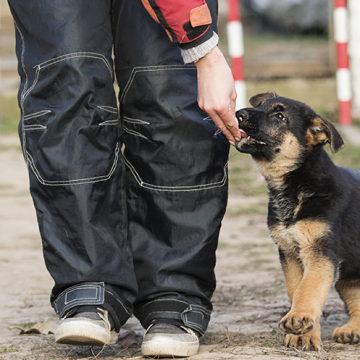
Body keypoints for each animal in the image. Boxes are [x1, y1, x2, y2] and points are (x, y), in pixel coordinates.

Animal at [235, 91, 360, 350]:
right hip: (348, 274)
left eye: (280, 116)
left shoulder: (319, 251)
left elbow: (309, 287)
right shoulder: (290, 253)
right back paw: (353, 329)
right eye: (260, 106)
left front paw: (299, 319)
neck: (296, 186)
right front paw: (304, 335)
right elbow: (296, 288)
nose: (238, 114)